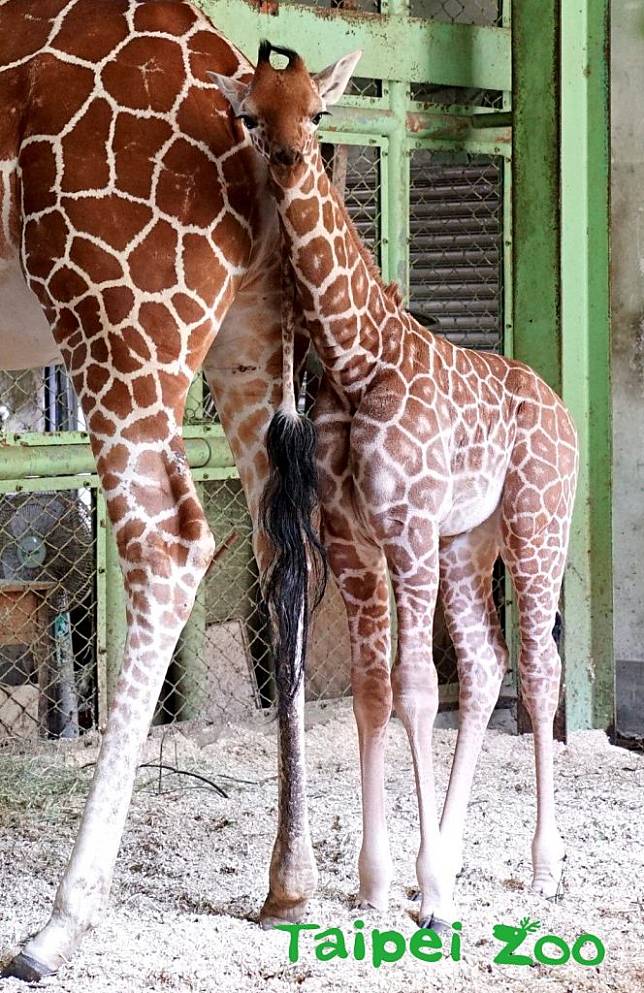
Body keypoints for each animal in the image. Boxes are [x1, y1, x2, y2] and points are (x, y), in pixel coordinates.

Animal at [0, 0, 322, 976]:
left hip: (116, 307)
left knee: (172, 541)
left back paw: (58, 923)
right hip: (252, 337)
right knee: (280, 547)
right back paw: (290, 882)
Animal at [213, 40, 580, 928]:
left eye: (317, 110)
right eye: (251, 114)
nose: (291, 155)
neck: (355, 358)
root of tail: (563, 408)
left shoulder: (405, 526)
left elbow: (415, 690)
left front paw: (433, 895)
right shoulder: (351, 535)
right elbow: (373, 691)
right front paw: (380, 880)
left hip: (538, 524)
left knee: (538, 667)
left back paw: (541, 866)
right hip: (468, 541)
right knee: (484, 664)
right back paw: (449, 853)